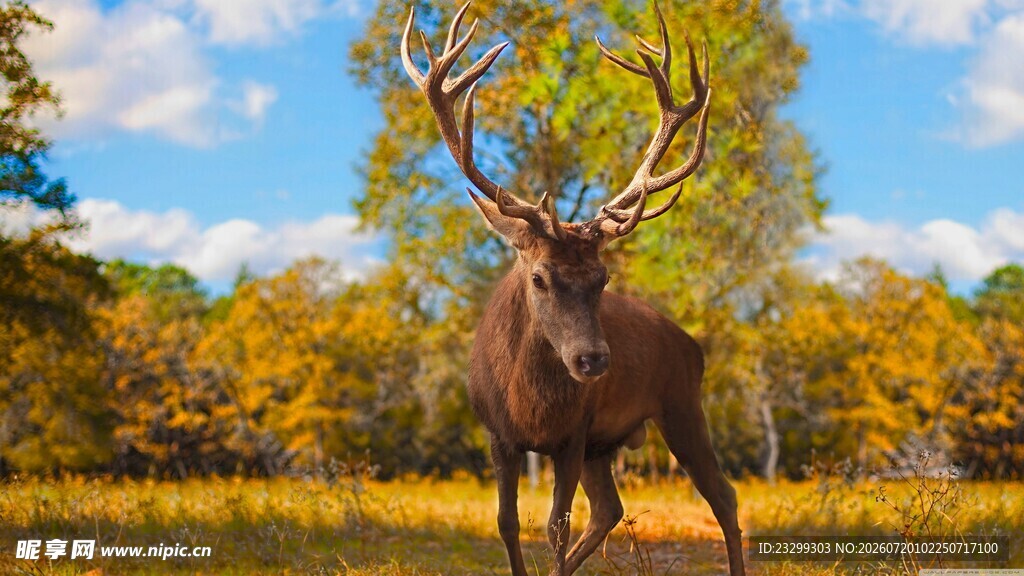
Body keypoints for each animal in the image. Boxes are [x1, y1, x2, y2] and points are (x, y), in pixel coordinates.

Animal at [400, 2, 744, 575]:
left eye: (603, 279)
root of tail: (692, 344)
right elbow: (507, 523)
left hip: (681, 404)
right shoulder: (498, 434)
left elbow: (555, 528)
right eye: (540, 277)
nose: (592, 360)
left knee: (723, 495)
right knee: (610, 509)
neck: (529, 406)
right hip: (608, 445)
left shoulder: (574, 433)